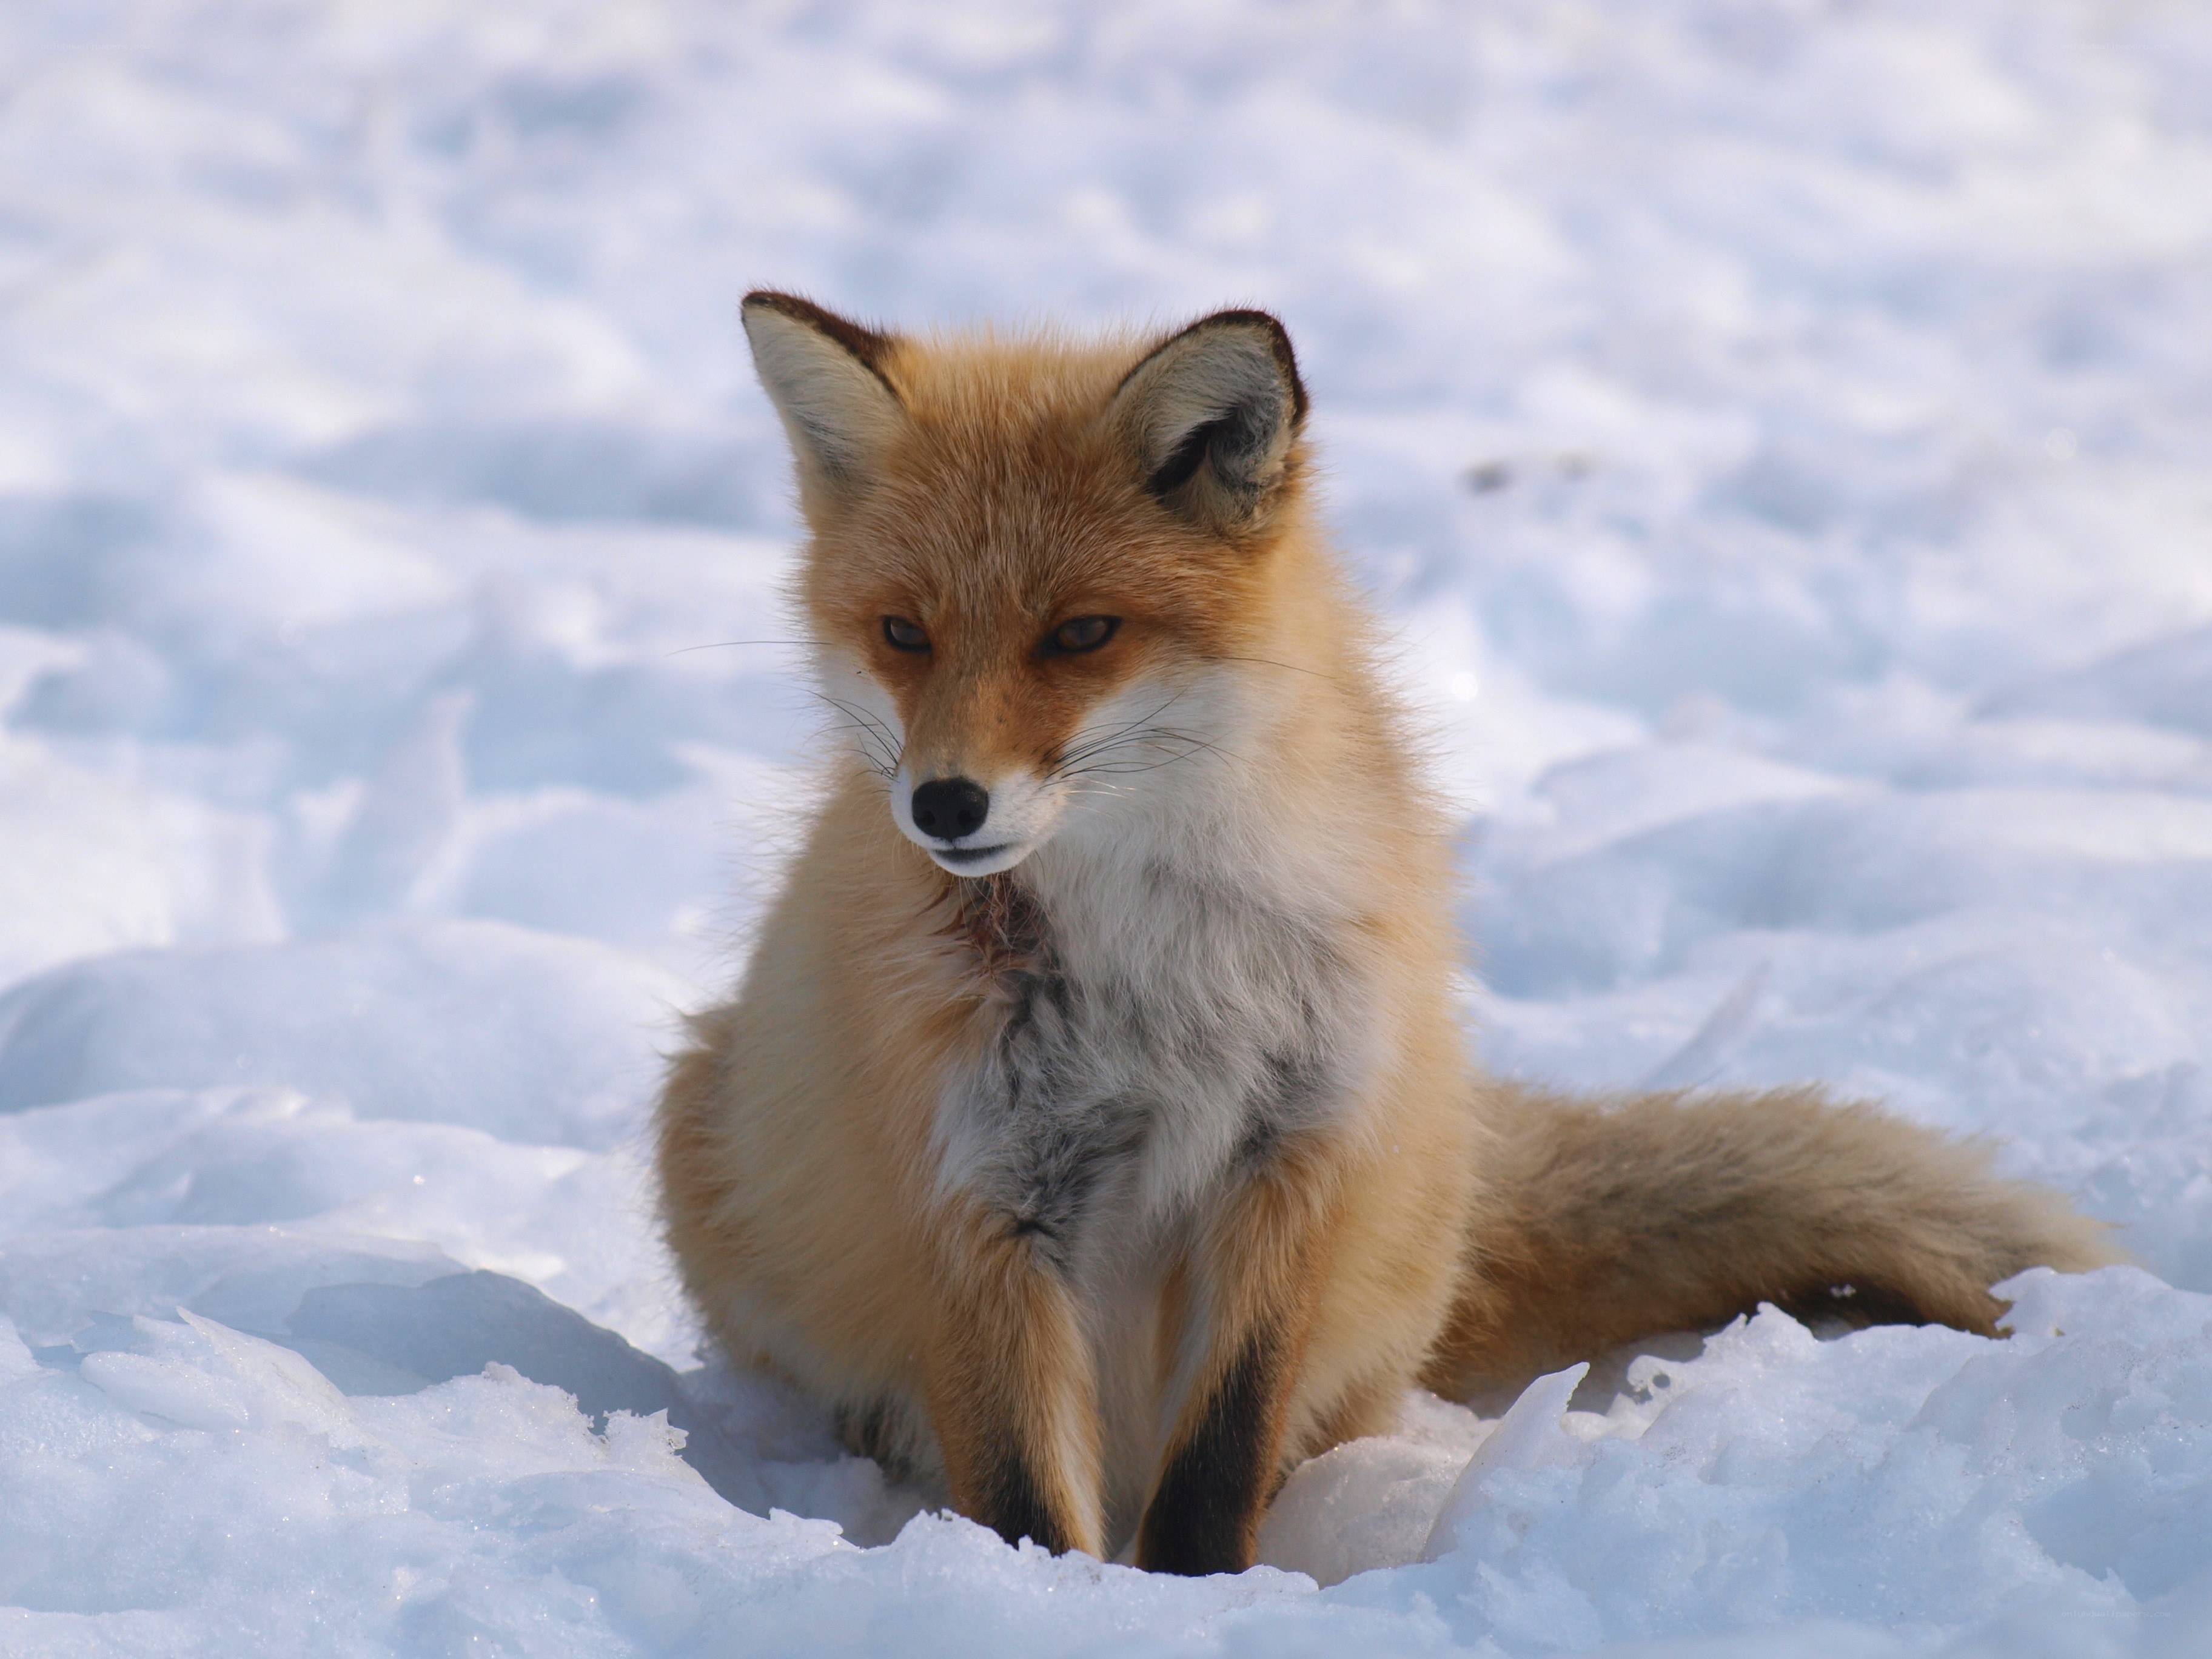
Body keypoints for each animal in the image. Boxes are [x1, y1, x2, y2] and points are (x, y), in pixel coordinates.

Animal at [656, 293, 2120, 1577]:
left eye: (1082, 634)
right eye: (903, 633)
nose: (943, 806)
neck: (1155, 965)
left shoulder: (1296, 1150)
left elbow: (1221, 1457)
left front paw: (1198, 1597)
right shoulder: (975, 1192)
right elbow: (1021, 1492)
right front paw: (1044, 1599)